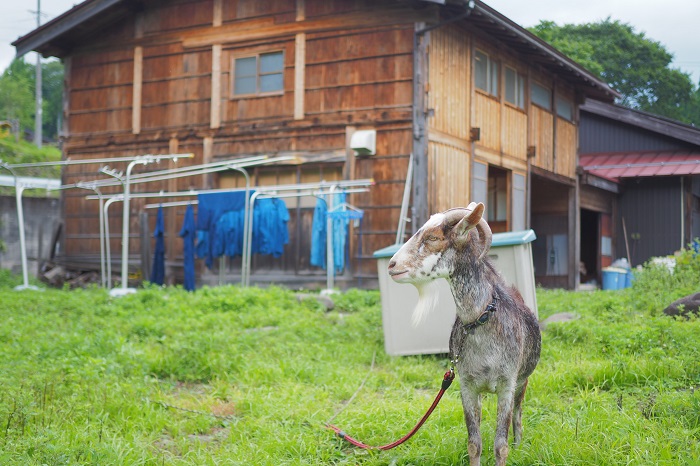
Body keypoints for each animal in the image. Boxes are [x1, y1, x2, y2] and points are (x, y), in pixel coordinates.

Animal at [388, 203, 540, 466]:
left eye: (433, 237)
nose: (392, 265)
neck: (481, 321)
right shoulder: (467, 384)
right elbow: (474, 443)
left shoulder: (507, 384)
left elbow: (501, 446)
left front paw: (510, 448)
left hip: (523, 381)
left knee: (519, 413)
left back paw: (519, 445)